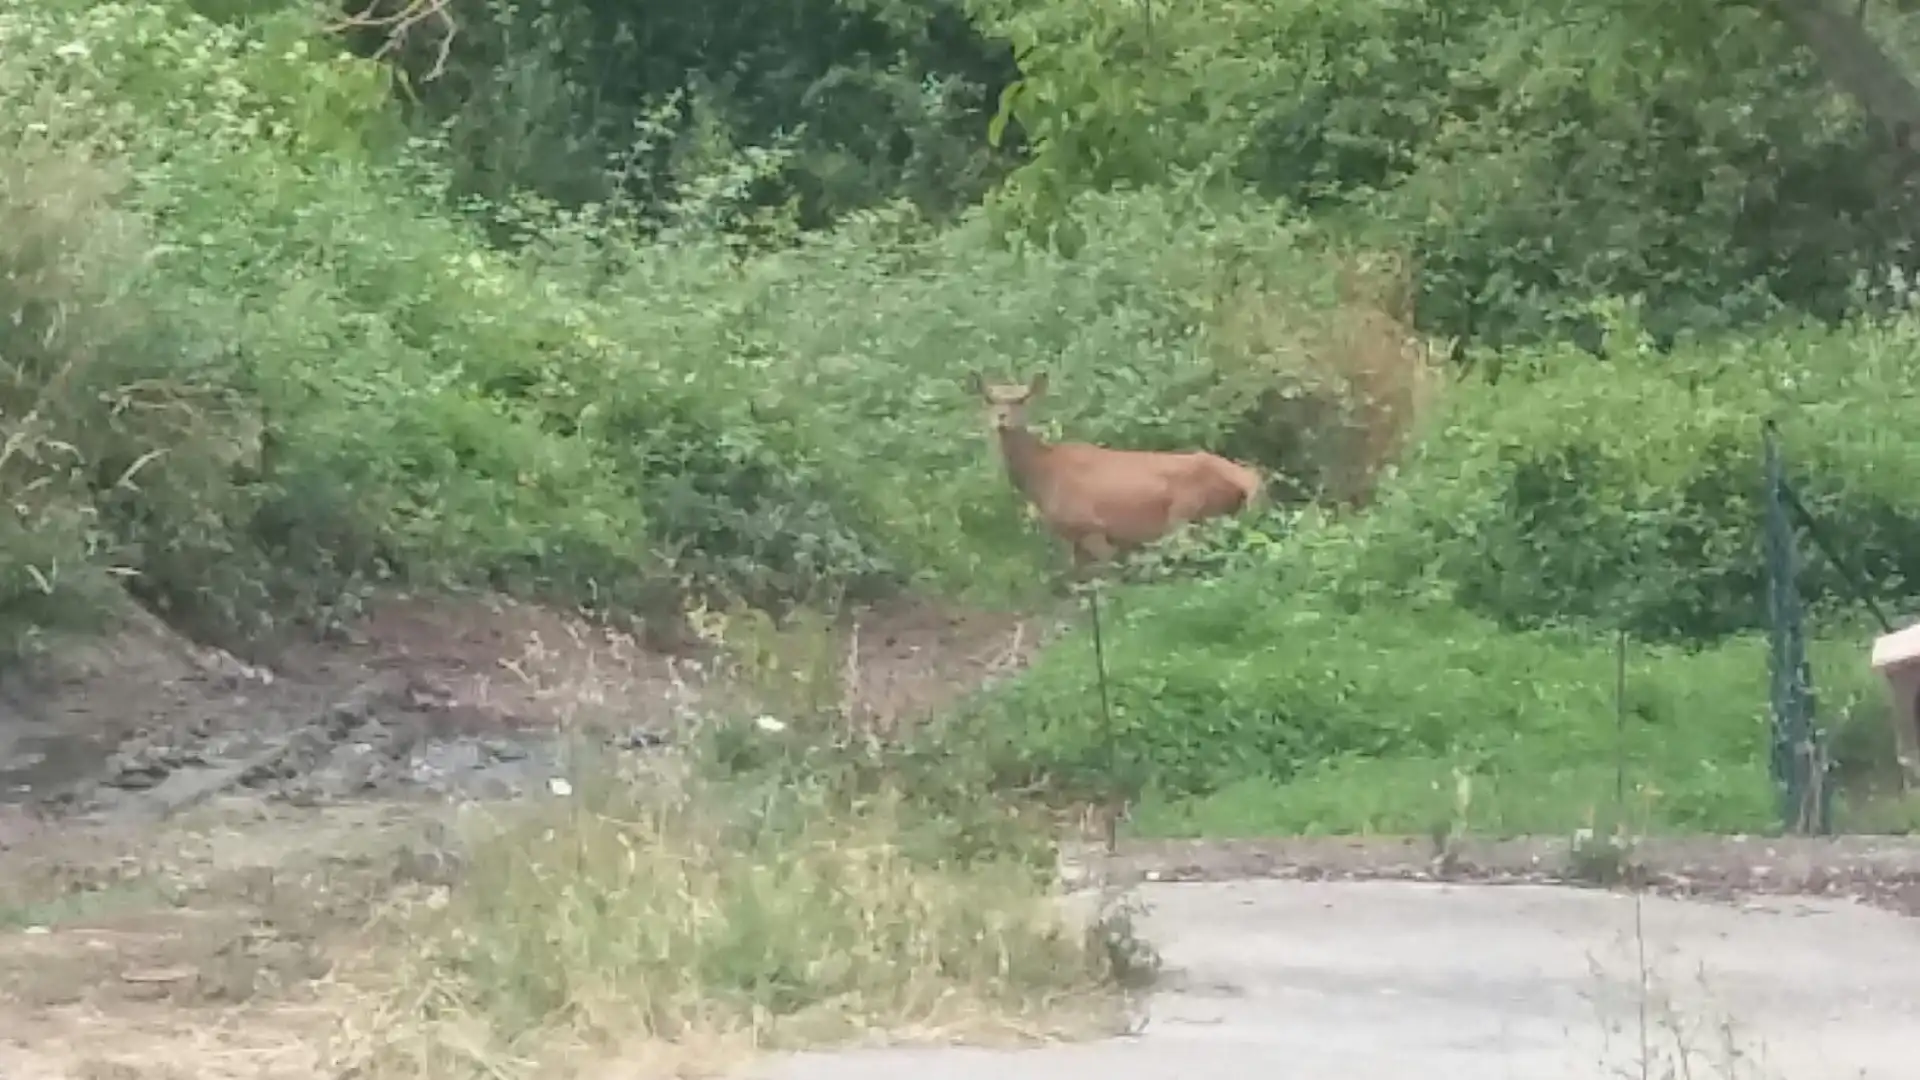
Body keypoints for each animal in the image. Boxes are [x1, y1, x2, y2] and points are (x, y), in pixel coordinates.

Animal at [967, 367, 1267, 572]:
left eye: (1021, 400)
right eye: (990, 399)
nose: (1001, 418)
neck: (1043, 476)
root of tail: (1248, 480)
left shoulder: (1091, 526)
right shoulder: (1073, 541)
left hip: (1188, 514)